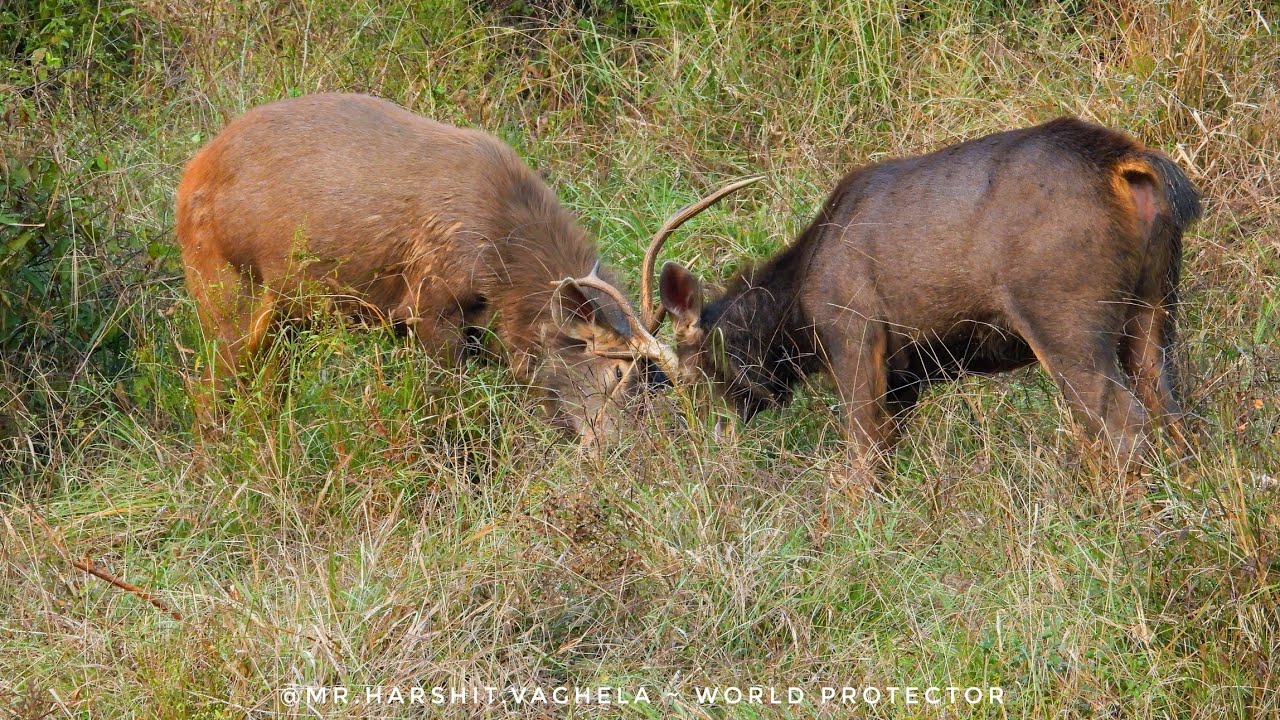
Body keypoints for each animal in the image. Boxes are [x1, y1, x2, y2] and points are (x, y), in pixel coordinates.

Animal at [175, 92, 758, 445]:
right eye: (618, 373)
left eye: (656, 384)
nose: (615, 448)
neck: (505, 267)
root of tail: (188, 179)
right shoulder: (427, 304)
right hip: (222, 291)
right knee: (204, 387)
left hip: (285, 317)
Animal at [646, 117, 1201, 484]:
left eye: (692, 375)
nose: (712, 440)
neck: (797, 310)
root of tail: (1133, 167)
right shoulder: (905, 377)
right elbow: (885, 453)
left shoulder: (853, 334)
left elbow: (862, 454)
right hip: (1155, 303)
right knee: (1171, 410)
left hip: (1063, 314)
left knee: (1123, 422)